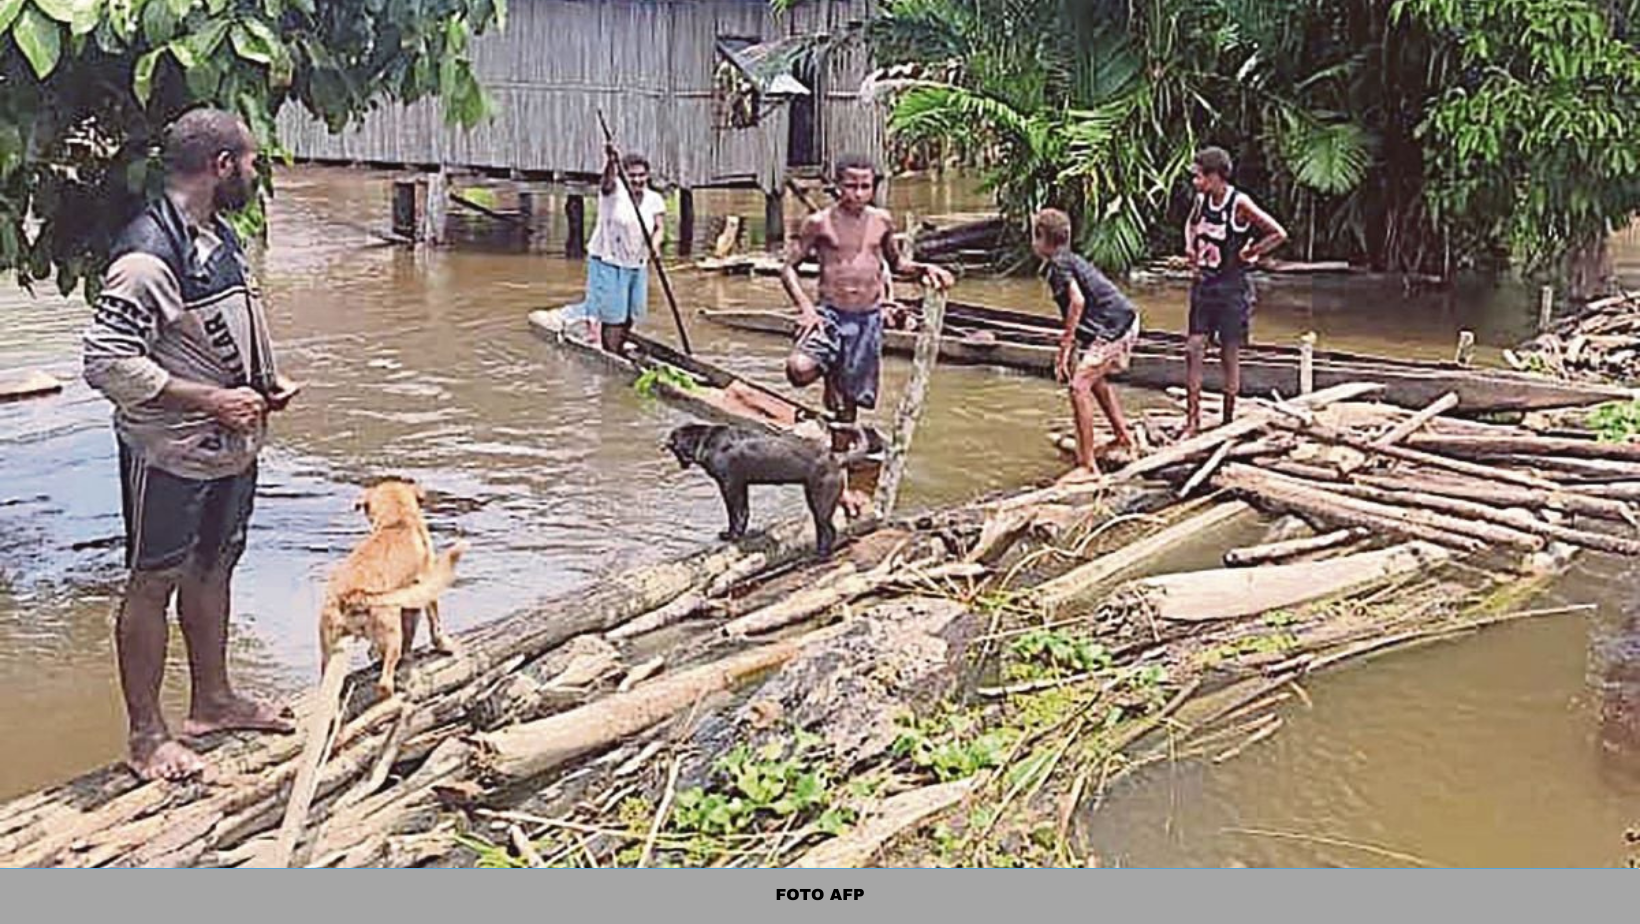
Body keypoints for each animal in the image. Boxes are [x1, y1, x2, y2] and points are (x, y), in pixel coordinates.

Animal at [319, 482, 465, 699]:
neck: (397, 521)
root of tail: (353, 595)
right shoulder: (426, 587)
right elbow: (434, 625)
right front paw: (444, 645)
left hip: (329, 651)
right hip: (391, 634)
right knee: (384, 684)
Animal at [665, 423, 879, 558]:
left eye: (673, 448)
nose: (681, 465)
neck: (706, 441)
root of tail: (837, 457)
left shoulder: (729, 485)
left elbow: (735, 514)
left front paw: (731, 536)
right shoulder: (741, 484)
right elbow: (744, 512)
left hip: (821, 500)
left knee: (830, 530)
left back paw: (821, 556)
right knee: (825, 529)